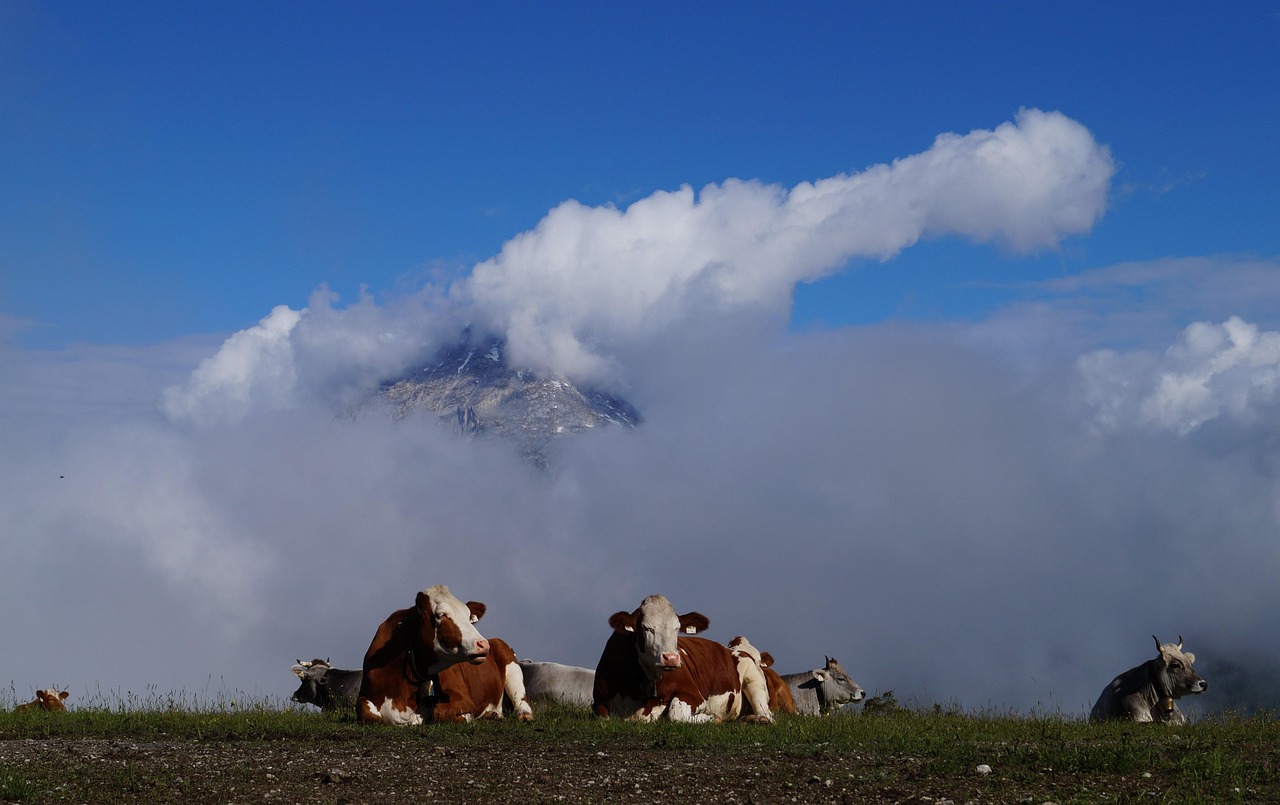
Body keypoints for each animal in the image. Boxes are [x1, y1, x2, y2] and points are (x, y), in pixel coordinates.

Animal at [360, 581, 535, 726]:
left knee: (521, 700)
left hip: (509, 662)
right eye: (441, 615)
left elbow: (439, 711)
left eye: (469, 617)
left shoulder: (462, 697)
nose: (483, 644)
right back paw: (491, 714)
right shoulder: (365, 694)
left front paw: (466, 717)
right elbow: (366, 712)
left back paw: (523, 715)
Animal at [593, 591, 762, 721]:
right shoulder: (598, 702)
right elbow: (603, 716)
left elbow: (676, 713)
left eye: (677, 627)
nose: (671, 658)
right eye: (646, 628)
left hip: (753, 676)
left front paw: (713, 718)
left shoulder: (693, 695)